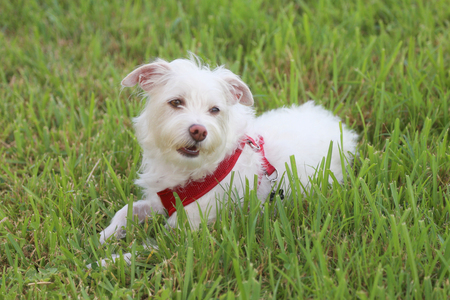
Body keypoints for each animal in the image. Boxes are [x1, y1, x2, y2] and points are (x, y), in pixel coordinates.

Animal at [99, 55, 358, 245]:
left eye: (215, 110)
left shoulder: (183, 230)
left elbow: (145, 251)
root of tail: (342, 128)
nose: (198, 131)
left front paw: (103, 262)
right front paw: (105, 236)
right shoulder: (159, 201)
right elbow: (127, 210)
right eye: (175, 102)